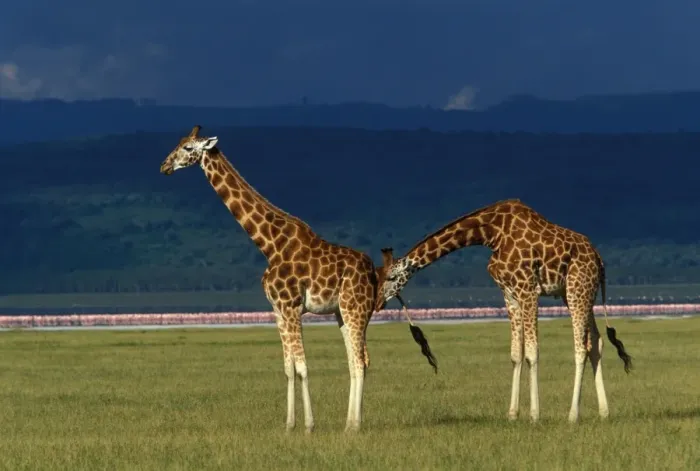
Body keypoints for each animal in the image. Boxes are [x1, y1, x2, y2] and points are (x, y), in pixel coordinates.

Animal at [159, 125, 430, 433]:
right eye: (179, 142)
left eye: (188, 148)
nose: (164, 166)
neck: (269, 245)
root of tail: (374, 275)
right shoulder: (277, 309)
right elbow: (289, 368)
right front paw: (289, 425)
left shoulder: (291, 306)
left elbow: (302, 367)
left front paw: (309, 425)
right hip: (342, 312)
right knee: (355, 361)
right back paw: (348, 423)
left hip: (355, 308)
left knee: (360, 361)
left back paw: (354, 426)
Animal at [376, 199, 633, 423]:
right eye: (377, 277)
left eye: (391, 277)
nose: (377, 303)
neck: (490, 234)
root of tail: (599, 261)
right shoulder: (509, 294)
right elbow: (515, 354)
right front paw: (512, 414)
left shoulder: (528, 289)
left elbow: (532, 351)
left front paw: (534, 415)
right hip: (576, 293)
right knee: (596, 342)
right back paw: (604, 412)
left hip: (577, 289)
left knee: (581, 346)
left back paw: (572, 416)